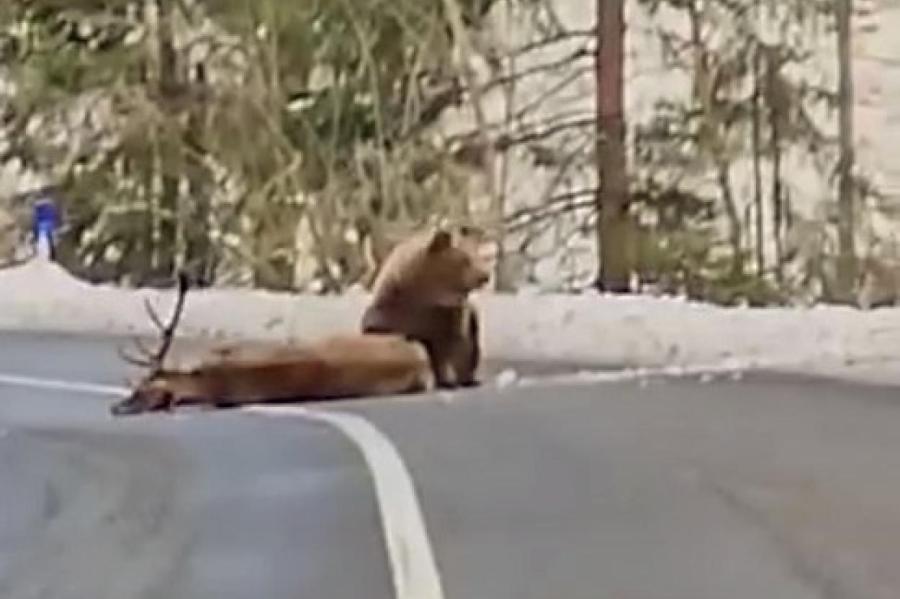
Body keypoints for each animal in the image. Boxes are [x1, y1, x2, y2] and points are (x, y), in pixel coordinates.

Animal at [360, 225, 492, 390]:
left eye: (479, 257)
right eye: (465, 259)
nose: (485, 276)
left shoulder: (449, 318)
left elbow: (457, 347)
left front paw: (461, 379)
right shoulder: (393, 317)